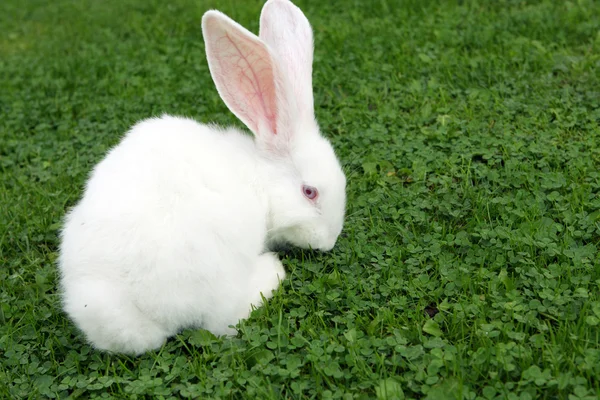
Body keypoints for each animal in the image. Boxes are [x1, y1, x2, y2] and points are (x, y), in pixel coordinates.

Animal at [57, 0, 346, 356]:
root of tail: (126, 320)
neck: (261, 179)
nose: (329, 242)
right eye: (310, 192)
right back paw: (271, 271)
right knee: (224, 319)